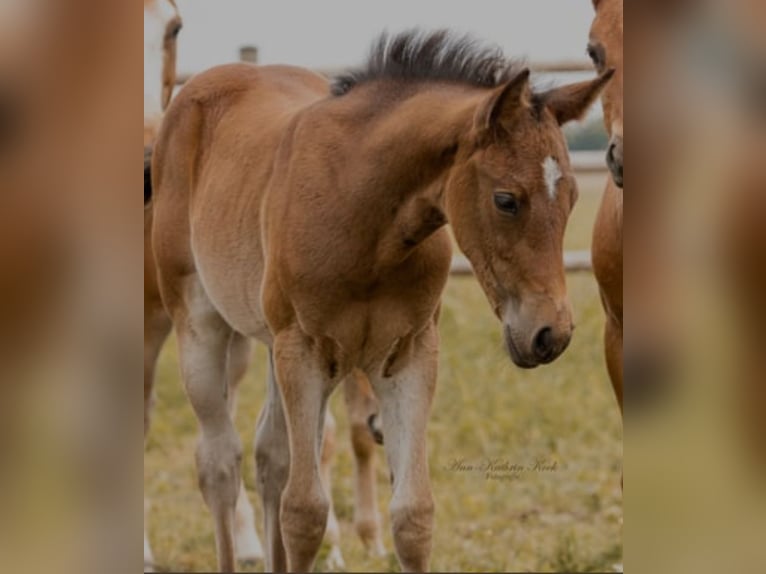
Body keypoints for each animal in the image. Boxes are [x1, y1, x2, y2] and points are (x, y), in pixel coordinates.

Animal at [150, 29, 611, 571]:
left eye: (574, 198)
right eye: (506, 200)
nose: (550, 334)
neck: (363, 217)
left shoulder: (408, 354)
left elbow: (413, 515)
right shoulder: (303, 351)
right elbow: (304, 512)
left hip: (268, 341)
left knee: (271, 457)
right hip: (200, 323)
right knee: (220, 463)